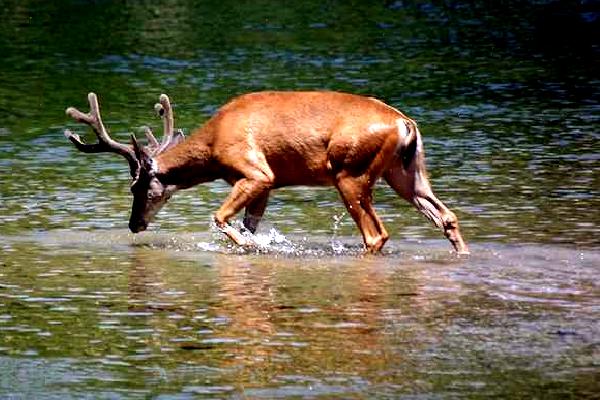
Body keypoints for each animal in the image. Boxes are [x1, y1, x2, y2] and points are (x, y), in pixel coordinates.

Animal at [65, 91, 468, 253]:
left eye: (136, 188)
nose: (134, 224)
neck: (212, 148)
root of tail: (405, 123)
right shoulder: (267, 186)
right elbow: (248, 223)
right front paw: (253, 243)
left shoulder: (256, 171)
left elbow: (221, 218)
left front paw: (248, 246)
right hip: (405, 173)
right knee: (446, 215)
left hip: (352, 173)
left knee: (376, 235)